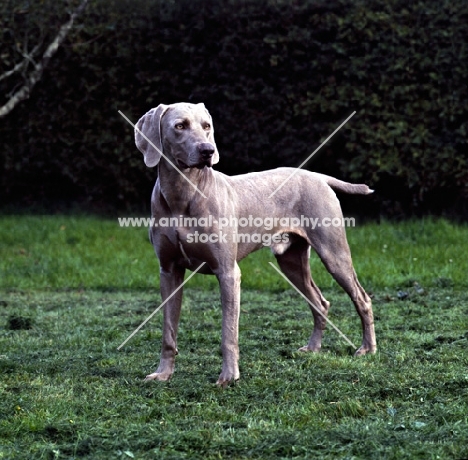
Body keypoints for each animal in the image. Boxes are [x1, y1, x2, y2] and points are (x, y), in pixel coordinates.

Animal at [134, 102, 376, 386]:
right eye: (180, 126)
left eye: (206, 126)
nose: (208, 151)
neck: (184, 194)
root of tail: (317, 176)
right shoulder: (169, 271)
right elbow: (168, 331)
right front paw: (163, 373)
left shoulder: (228, 272)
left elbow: (229, 332)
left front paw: (228, 377)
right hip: (291, 261)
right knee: (319, 301)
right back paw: (313, 348)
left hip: (333, 252)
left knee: (361, 297)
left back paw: (367, 348)